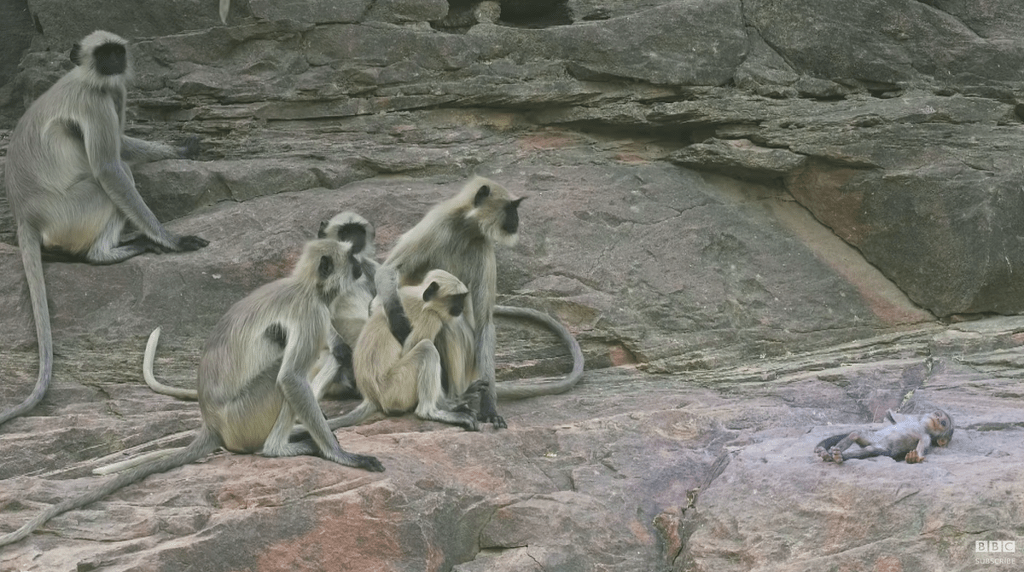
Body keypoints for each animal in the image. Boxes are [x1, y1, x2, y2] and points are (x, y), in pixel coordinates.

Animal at [0, 29, 209, 427]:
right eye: (102, 54)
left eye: (116, 52)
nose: (113, 61)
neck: (88, 78)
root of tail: (25, 216)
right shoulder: (95, 101)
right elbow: (110, 166)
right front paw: (171, 240)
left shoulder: (115, 92)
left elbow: (122, 144)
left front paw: (180, 149)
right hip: (70, 211)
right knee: (111, 178)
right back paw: (111, 251)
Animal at [0, 239, 382, 548]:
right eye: (352, 261)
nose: (362, 268)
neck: (305, 286)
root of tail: (211, 424)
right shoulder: (310, 313)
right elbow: (290, 378)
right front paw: (342, 455)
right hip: (245, 415)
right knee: (284, 376)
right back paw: (280, 447)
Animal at [329, 268, 485, 429]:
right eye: (456, 298)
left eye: (462, 297)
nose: (461, 307)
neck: (423, 300)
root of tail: (372, 397)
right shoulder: (430, 318)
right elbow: (408, 349)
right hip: (395, 390)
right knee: (426, 348)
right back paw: (432, 411)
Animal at [376, 177, 585, 431]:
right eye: (511, 208)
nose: (517, 220)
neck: (465, 229)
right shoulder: (436, 223)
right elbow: (389, 269)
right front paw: (398, 322)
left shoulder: (484, 246)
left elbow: (484, 322)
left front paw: (489, 407)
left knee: (452, 328)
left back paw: (456, 400)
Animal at [811, 409, 954, 462]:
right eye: (938, 414)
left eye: (943, 422)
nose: (936, 417)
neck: (921, 426)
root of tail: (876, 443)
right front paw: (890, 414)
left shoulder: (926, 437)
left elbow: (921, 446)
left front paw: (914, 457)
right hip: (873, 438)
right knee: (855, 434)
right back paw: (828, 452)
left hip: (882, 448)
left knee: (869, 450)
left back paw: (836, 456)